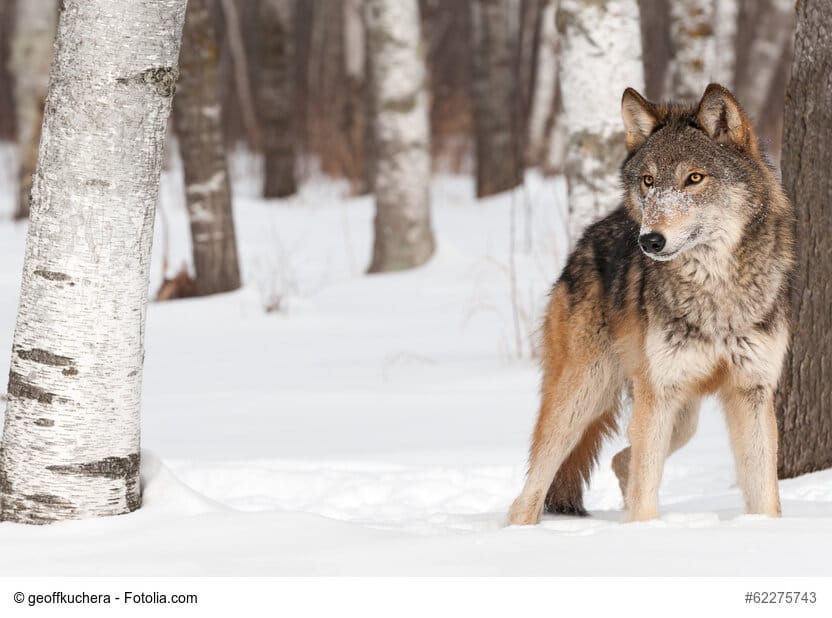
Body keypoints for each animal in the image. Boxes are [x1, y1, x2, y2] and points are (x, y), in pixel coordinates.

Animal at [508, 84, 795, 525]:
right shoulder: (659, 392)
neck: (716, 292)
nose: (649, 240)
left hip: (680, 416)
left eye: (694, 178)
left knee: (621, 459)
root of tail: (589, 235)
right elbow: (646, 495)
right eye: (648, 181)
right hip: (586, 395)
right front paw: (644, 533)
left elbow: (765, 496)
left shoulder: (752, 392)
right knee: (530, 490)